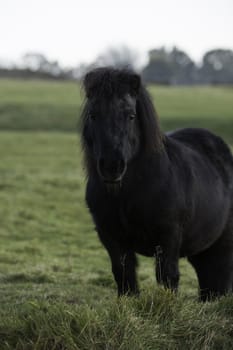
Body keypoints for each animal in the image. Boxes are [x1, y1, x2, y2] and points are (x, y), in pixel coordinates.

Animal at [80, 67, 233, 300]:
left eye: (131, 115)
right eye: (93, 114)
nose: (112, 165)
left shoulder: (168, 237)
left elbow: (168, 278)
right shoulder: (111, 237)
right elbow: (124, 277)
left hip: (221, 246)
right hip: (201, 250)